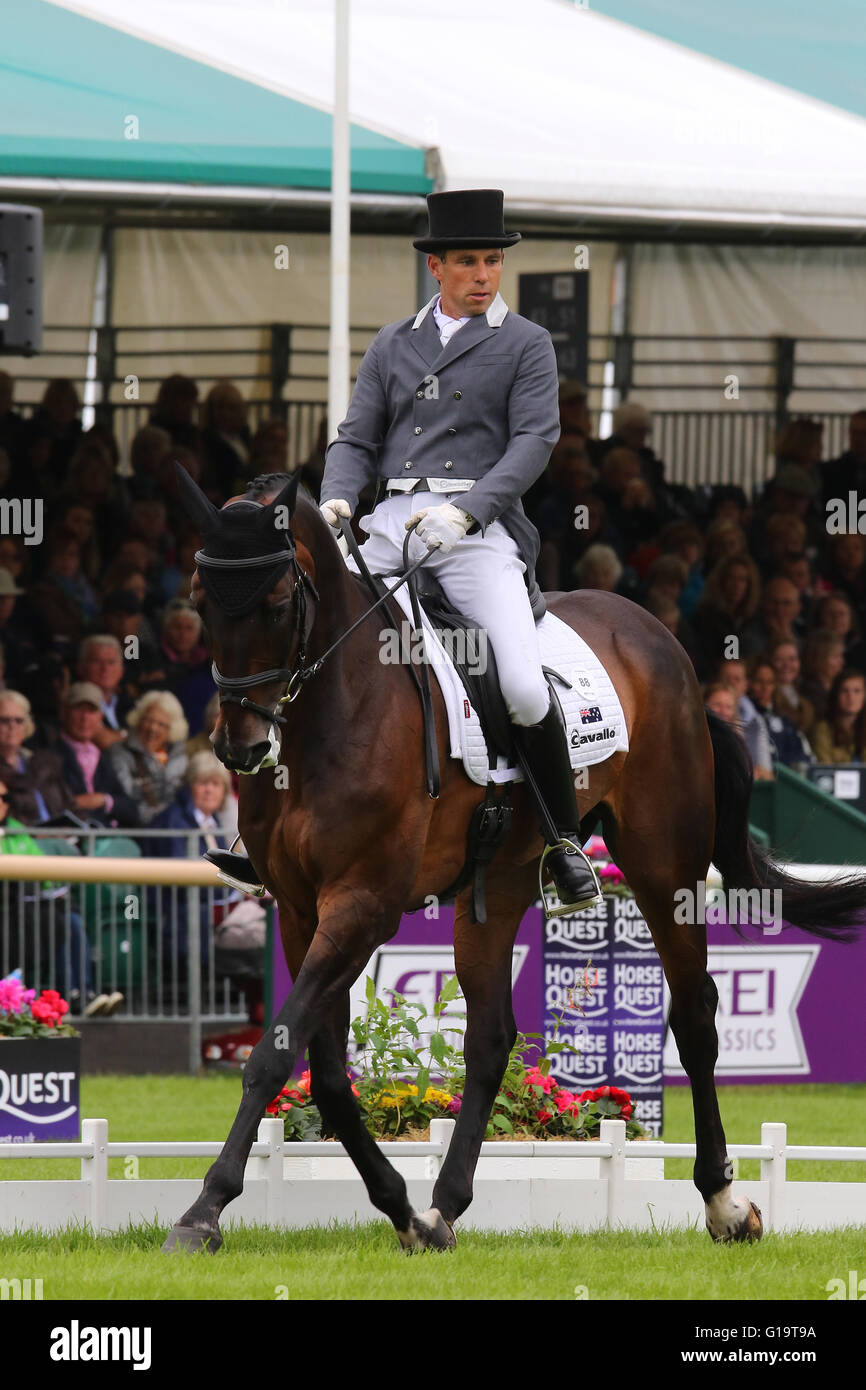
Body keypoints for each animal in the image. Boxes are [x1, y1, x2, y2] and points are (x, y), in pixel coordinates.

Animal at [163, 467, 866, 1253]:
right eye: (198, 602)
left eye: (279, 603)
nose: (241, 747)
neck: (334, 711)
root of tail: (661, 638)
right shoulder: (298, 909)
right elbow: (329, 1077)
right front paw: (403, 1210)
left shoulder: (363, 905)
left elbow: (272, 1056)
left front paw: (204, 1210)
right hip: (497, 882)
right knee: (491, 1037)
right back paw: (444, 1205)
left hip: (663, 866)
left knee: (694, 1017)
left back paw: (724, 1203)